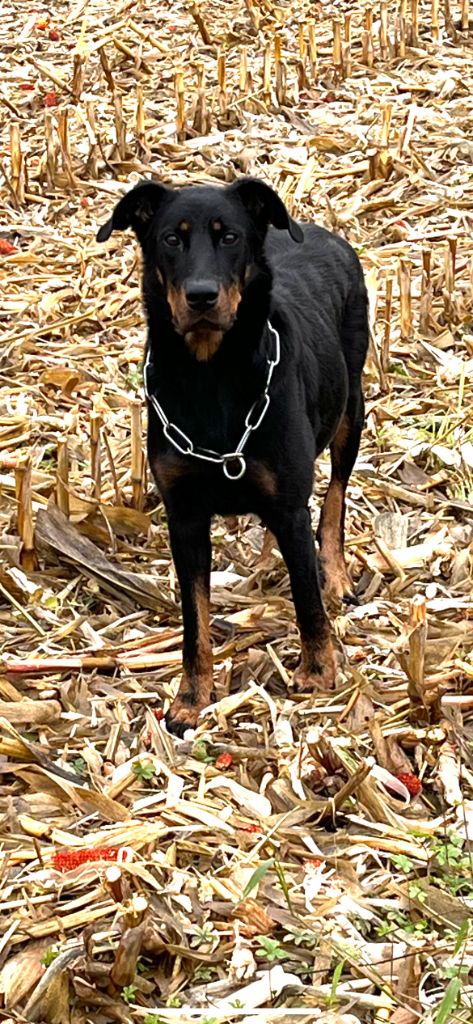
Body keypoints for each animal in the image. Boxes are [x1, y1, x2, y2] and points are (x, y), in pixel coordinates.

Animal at [96, 178, 368, 737]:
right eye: (171, 239)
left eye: (230, 237)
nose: (201, 296)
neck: (210, 375)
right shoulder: (184, 516)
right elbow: (194, 618)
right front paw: (191, 697)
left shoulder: (290, 504)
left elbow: (306, 596)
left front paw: (318, 671)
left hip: (351, 410)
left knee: (335, 497)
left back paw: (334, 573)